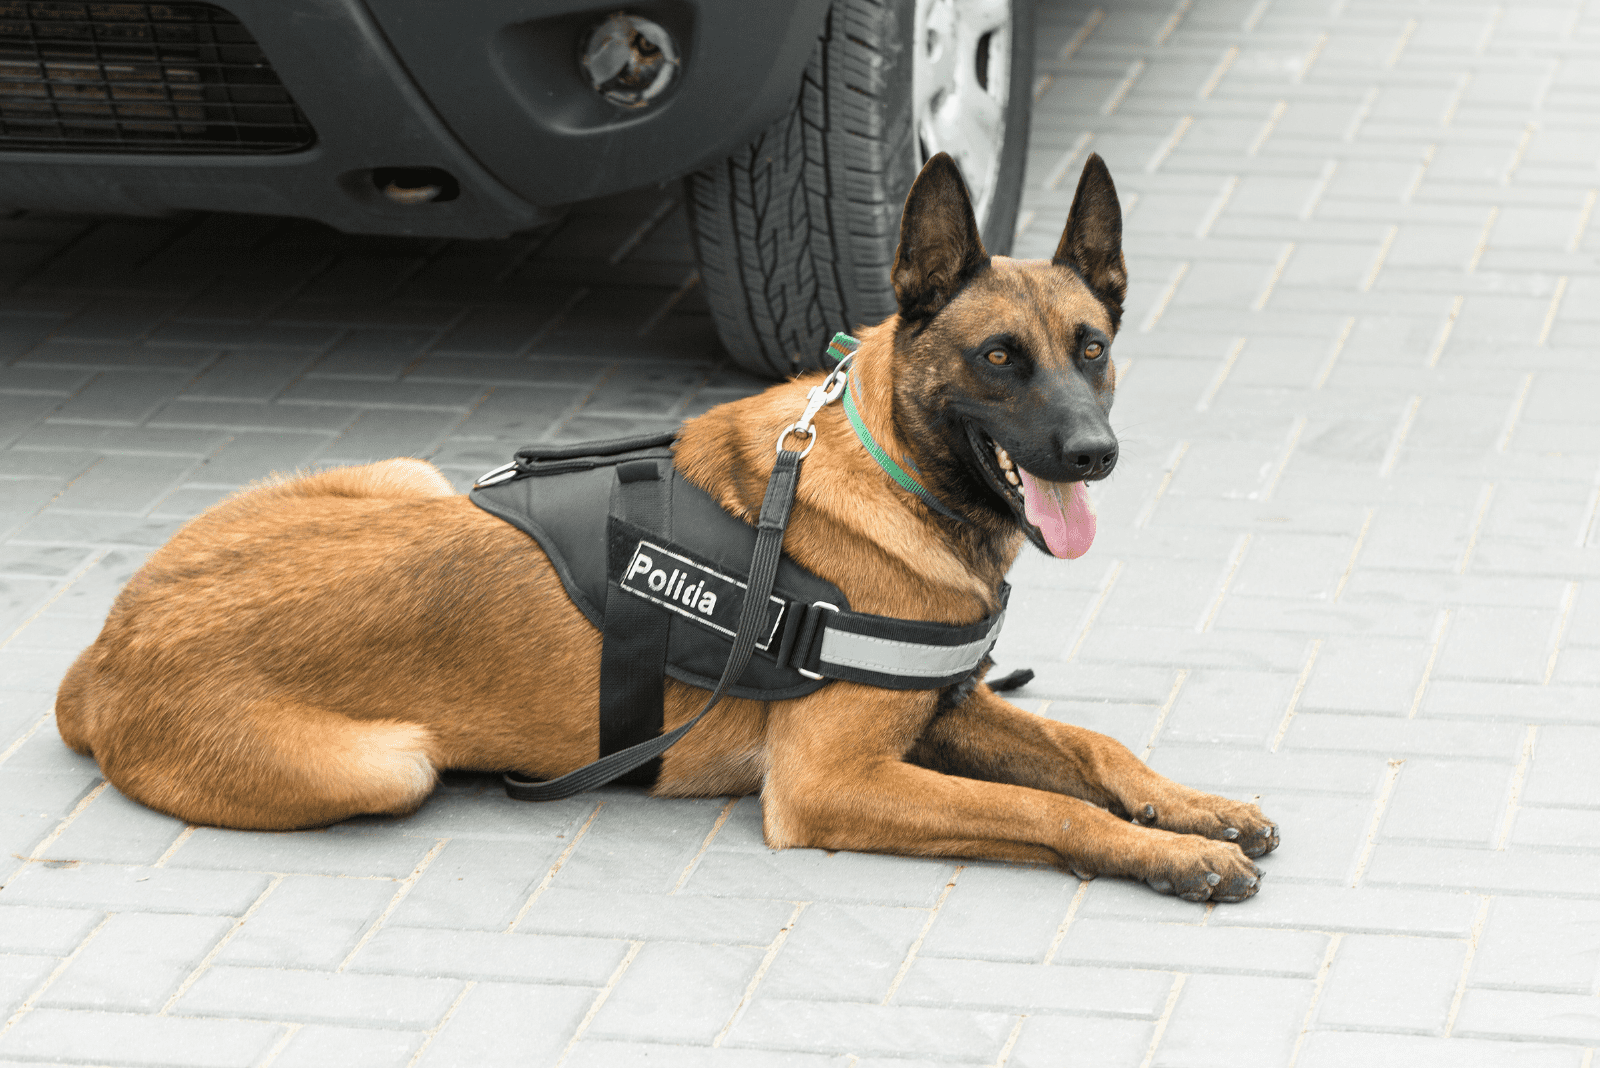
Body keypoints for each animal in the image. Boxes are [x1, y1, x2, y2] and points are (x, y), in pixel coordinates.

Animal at [56, 150, 1273, 901]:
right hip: (393, 763)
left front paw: (1192, 808)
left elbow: (1093, 748)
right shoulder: (837, 784)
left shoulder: (944, 714)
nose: (1094, 455)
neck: (891, 470)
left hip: (408, 476)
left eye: (1091, 348)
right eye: (999, 359)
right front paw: (1167, 856)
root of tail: (106, 647)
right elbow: (1044, 811)